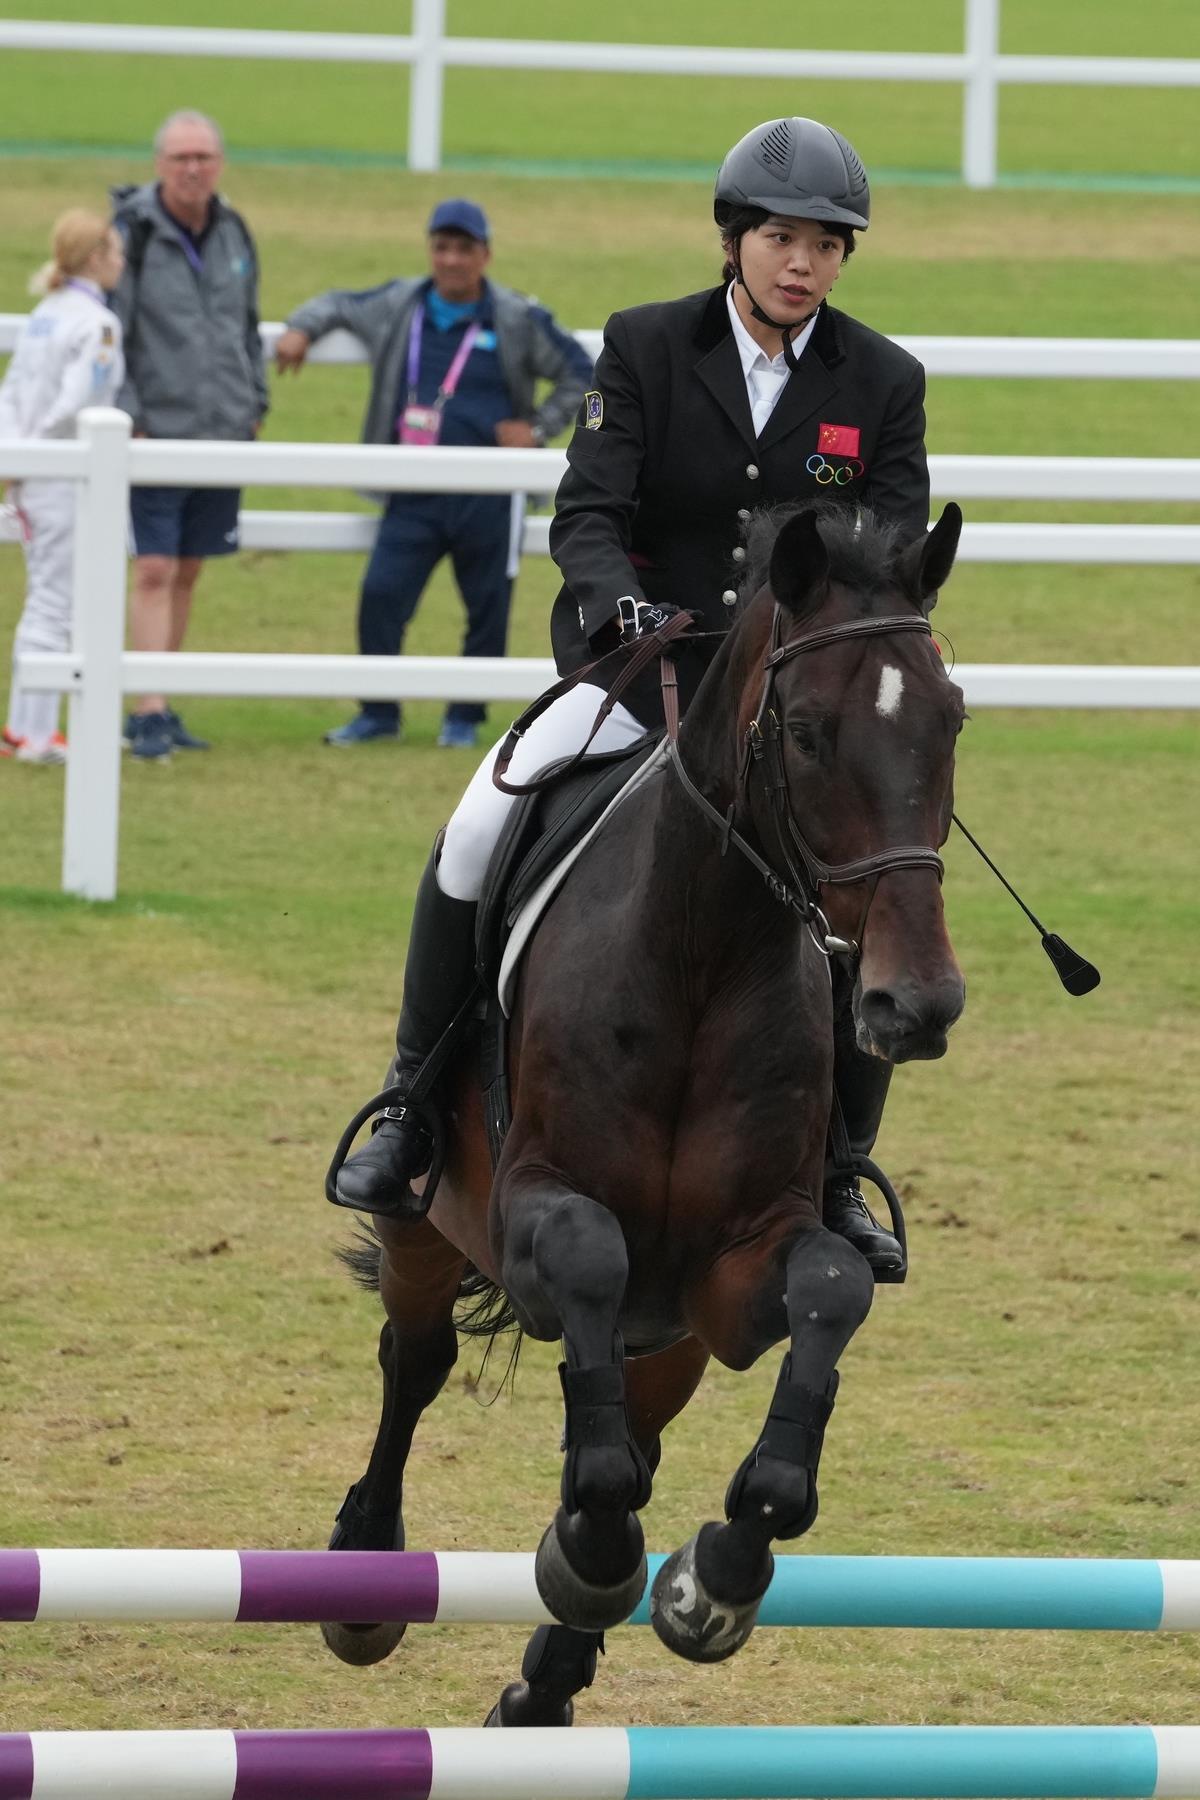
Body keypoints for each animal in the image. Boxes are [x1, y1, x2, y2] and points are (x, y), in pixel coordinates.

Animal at [323, 500, 971, 1720]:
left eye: (951, 721)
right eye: (805, 732)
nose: (915, 1002)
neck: (701, 954)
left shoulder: (735, 1268)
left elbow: (833, 1283)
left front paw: (718, 1572)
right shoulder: (535, 1205)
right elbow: (585, 1262)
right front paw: (594, 1551)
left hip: (668, 1333)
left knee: (638, 1417)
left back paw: (545, 1685)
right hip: (430, 1225)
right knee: (414, 1361)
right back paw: (364, 1578)